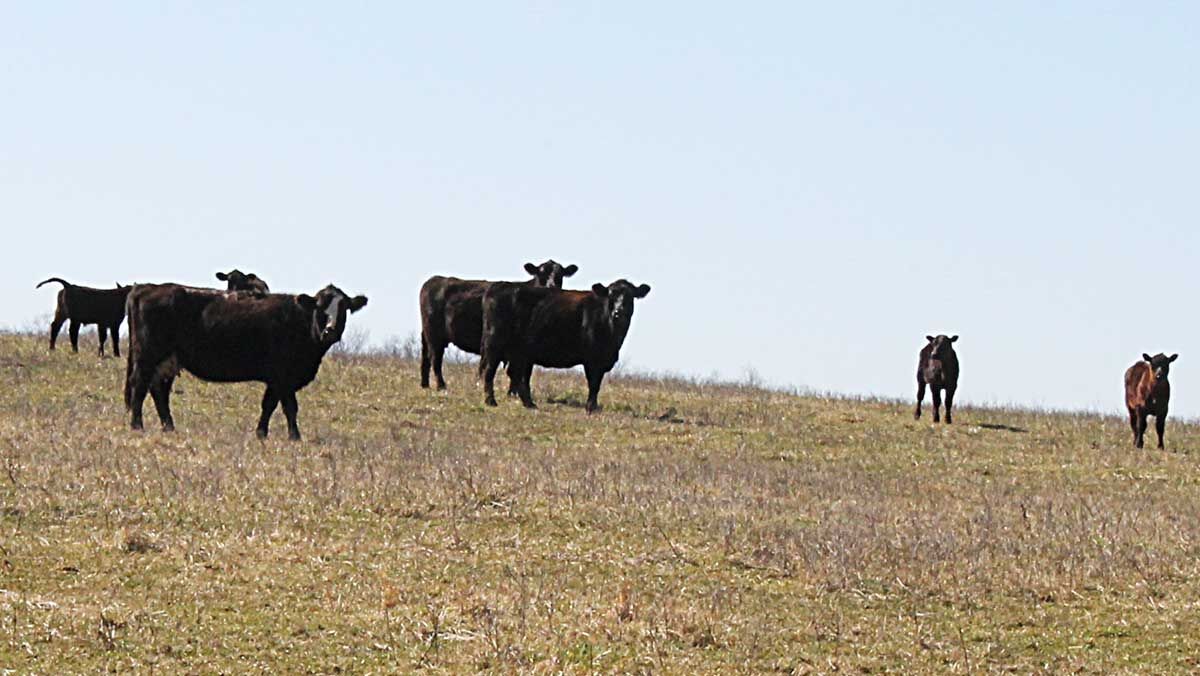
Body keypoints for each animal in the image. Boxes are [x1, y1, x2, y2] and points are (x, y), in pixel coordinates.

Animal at [124, 283, 367, 440]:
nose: (330, 330)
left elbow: (269, 405)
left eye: (344, 307)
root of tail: (147, 287)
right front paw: (295, 436)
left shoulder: (276, 379)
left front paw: (261, 433)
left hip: (168, 360)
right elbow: (290, 407)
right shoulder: (284, 376)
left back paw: (169, 427)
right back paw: (137, 425)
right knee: (140, 386)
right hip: (148, 356)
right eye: (320, 307)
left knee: (159, 391)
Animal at [419, 260, 578, 390]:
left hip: (427, 334)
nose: (552, 285)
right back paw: (441, 386)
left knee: (426, 357)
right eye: (541, 273)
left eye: (560, 275)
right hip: (434, 334)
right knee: (435, 359)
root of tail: (435, 279)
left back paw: (425, 385)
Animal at [480, 279, 651, 413]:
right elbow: (593, 383)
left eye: (630, 296)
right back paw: (491, 401)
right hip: (494, 342)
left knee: (515, 374)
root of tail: (499, 285)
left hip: (519, 351)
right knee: (489, 370)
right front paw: (590, 407)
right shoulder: (592, 359)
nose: (618, 312)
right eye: (611, 295)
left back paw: (529, 404)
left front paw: (593, 407)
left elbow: (597, 384)